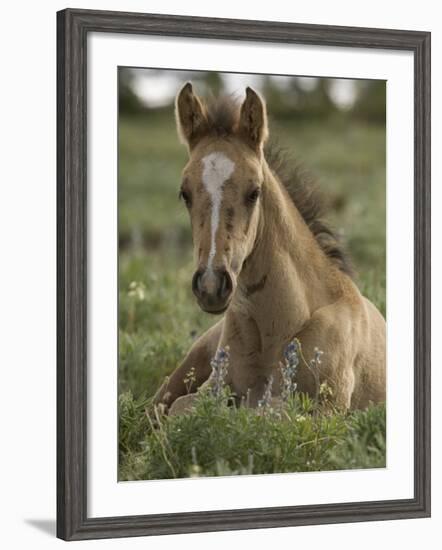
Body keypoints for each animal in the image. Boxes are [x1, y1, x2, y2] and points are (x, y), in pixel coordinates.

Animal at [153, 84, 386, 416]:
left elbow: (268, 412)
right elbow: (181, 410)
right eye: (184, 193)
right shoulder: (211, 389)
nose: (211, 285)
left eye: (254, 192)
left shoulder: (327, 410)